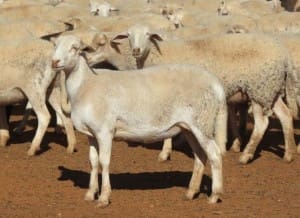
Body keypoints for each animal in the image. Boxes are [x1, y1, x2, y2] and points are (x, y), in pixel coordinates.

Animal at [51, 34, 227, 208]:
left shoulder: (104, 131)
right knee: (200, 156)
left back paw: (214, 196)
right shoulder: (91, 134)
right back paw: (191, 193)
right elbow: (93, 162)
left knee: (215, 154)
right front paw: (90, 194)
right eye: (55, 45)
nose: (54, 62)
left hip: (202, 122)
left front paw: (104, 197)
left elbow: (104, 162)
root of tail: (216, 83)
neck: (85, 84)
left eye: (74, 48)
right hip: (189, 127)